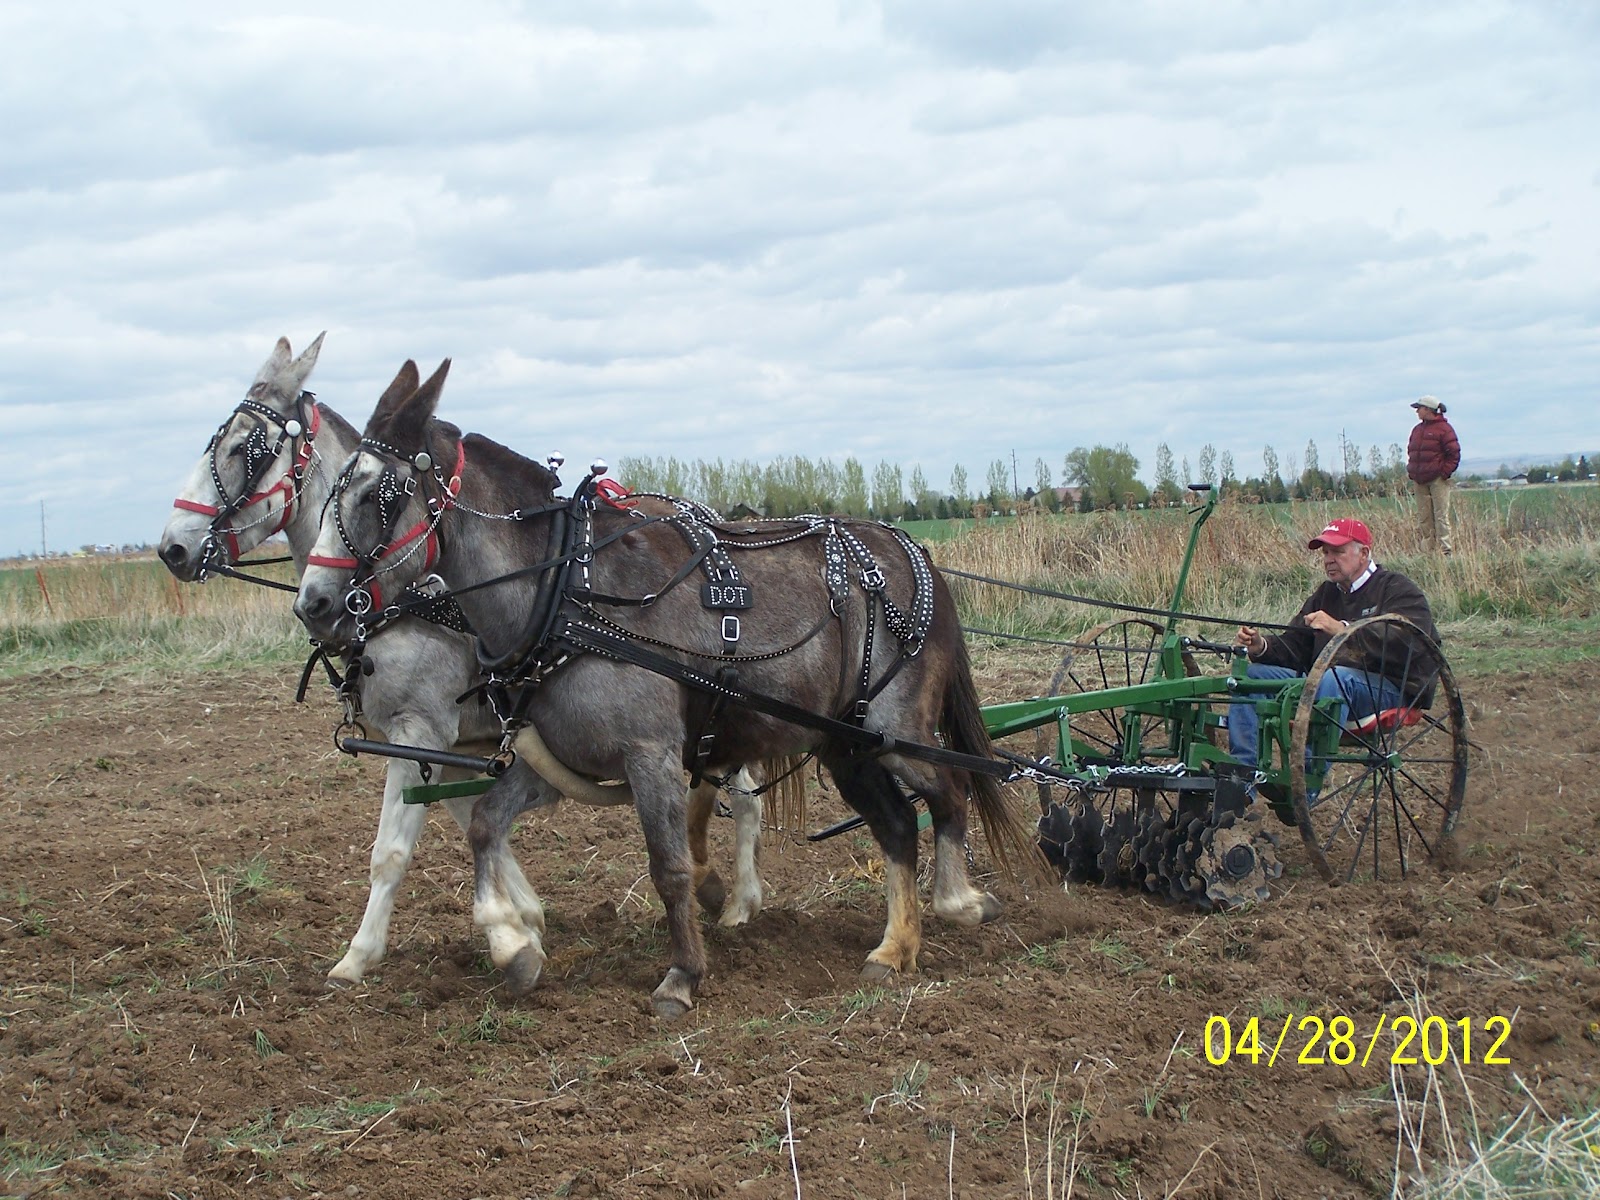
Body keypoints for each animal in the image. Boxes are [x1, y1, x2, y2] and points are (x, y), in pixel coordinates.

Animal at [159, 336, 771, 988]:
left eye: (243, 446)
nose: (172, 547)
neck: (407, 599)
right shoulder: (443, 741)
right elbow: (466, 814)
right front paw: (522, 921)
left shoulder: (421, 726)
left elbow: (392, 851)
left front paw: (361, 955)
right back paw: (716, 888)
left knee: (747, 796)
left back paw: (739, 904)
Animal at [293, 358, 1036, 1018]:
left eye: (381, 496)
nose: (314, 603)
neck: (566, 595)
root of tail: (909, 551)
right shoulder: (558, 761)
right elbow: (482, 826)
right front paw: (514, 945)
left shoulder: (648, 754)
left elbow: (671, 866)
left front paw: (681, 976)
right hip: (843, 744)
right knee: (897, 824)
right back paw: (895, 947)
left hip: (895, 728)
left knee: (950, 789)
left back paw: (958, 900)